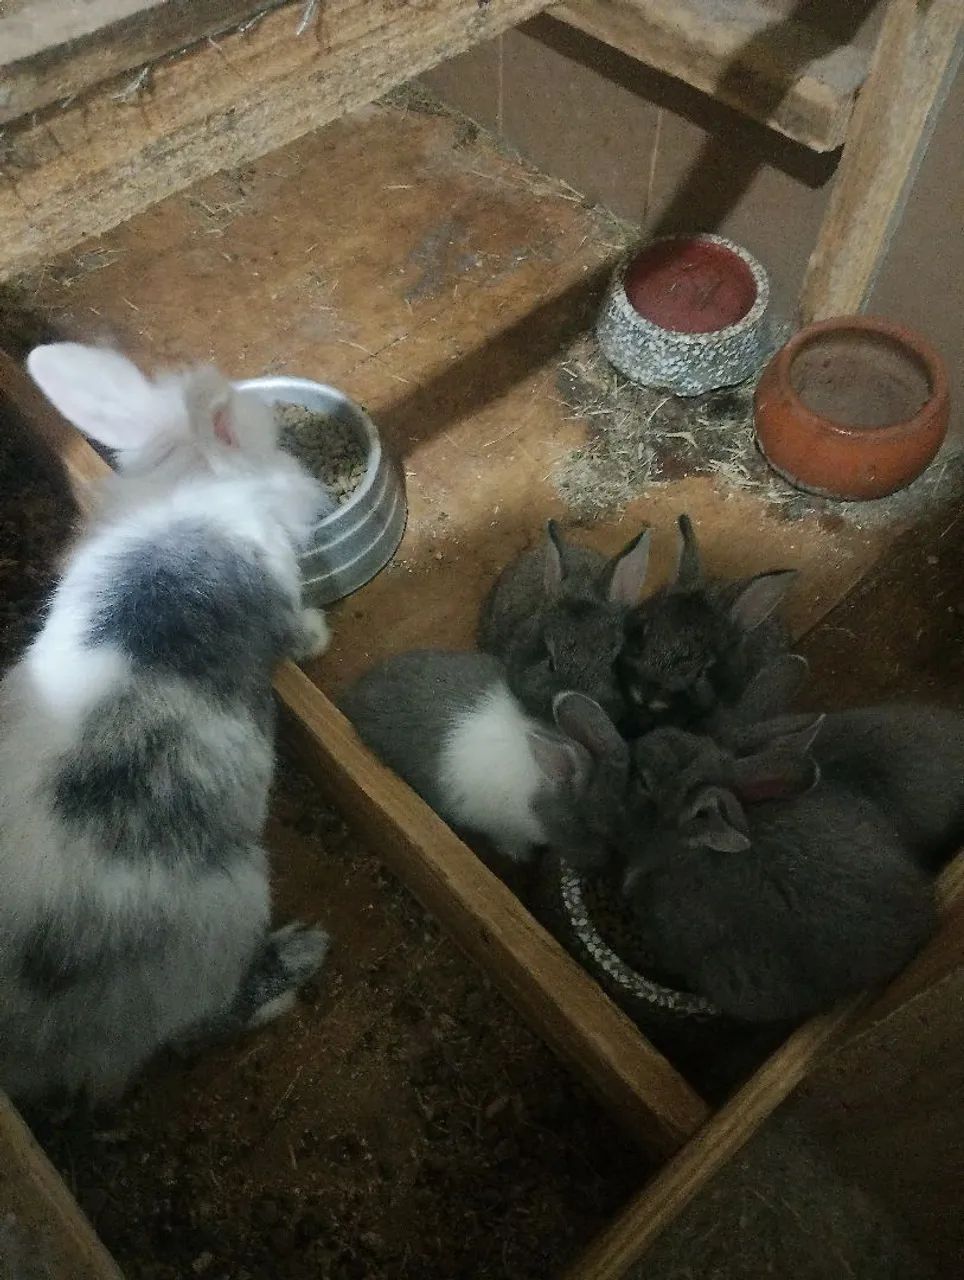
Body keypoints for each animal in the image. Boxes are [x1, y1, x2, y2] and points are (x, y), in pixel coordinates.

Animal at [0, 343, 333, 1105]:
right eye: (271, 442)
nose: (315, 496)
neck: (195, 488)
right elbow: (294, 630)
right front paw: (320, 637)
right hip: (230, 908)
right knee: (192, 1029)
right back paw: (296, 962)